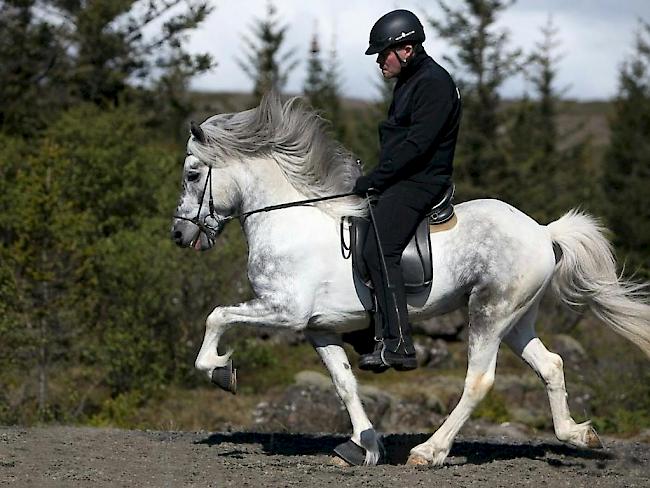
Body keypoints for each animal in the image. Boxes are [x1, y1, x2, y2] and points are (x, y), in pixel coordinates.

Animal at [171, 94, 648, 466]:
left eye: (192, 174)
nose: (179, 235)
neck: (291, 218)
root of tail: (543, 231)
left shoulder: (283, 311)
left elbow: (216, 316)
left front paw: (221, 371)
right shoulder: (318, 328)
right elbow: (345, 384)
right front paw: (365, 447)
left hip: (489, 312)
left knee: (479, 381)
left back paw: (430, 451)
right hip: (515, 318)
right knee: (551, 364)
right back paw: (577, 434)